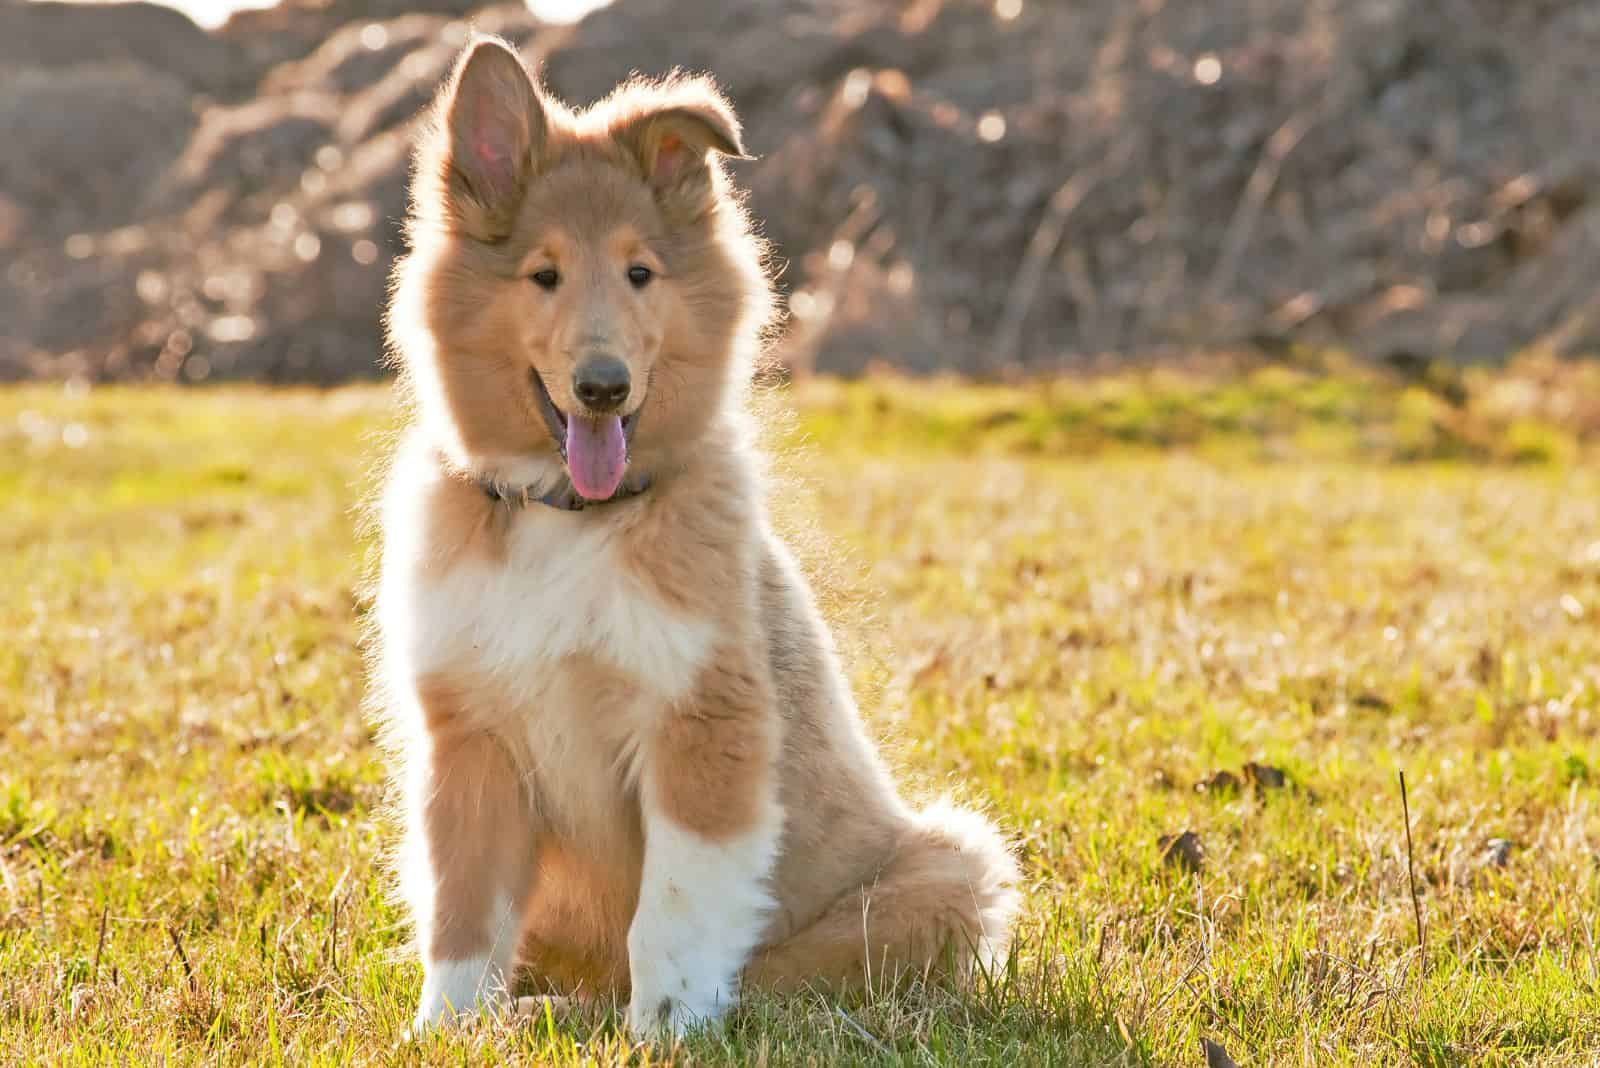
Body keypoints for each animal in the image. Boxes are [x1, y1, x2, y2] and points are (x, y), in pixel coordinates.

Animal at [371, 37, 1011, 1036]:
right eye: (544, 275)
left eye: (640, 274)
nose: (602, 386)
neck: (567, 516)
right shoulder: (471, 742)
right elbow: (463, 915)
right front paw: (448, 1032)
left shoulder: (702, 729)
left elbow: (668, 916)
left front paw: (663, 1032)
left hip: (949, 866)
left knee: (793, 973)